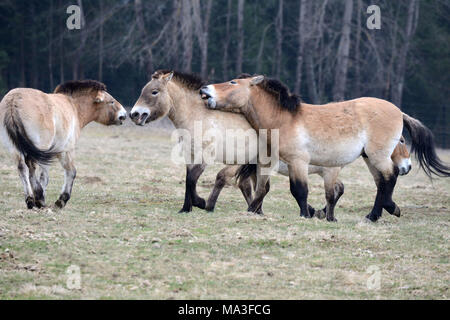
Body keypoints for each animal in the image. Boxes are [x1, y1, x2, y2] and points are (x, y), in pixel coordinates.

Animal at [0, 80, 127, 210]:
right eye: (111, 102)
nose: (124, 115)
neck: (73, 106)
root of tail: (13, 100)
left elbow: (44, 176)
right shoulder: (66, 151)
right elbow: (70, 172)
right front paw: (60, 200)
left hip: (15, 148)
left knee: (23, 169)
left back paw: (30, 200)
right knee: (31, 167)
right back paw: (38, 196)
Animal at [128, 70, 346, 215]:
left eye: (154, 92)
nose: (135, 114)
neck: (199, 116)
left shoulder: (207, 157)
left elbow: (194, 180)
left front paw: (201, 203)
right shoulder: (191, 156)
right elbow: (189, 180)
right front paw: (186, 208)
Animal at [202, 76, 448, 221]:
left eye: (233, 83)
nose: (205, 89)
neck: (285, 119)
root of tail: (398, 111)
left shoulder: (300, 162)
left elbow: (300, 190)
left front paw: (306, 214)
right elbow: (275, 189)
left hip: (377, 157)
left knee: (390, 177)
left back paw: (381, 212)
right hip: (370, 158)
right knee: (382, 182)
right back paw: (376, 214)